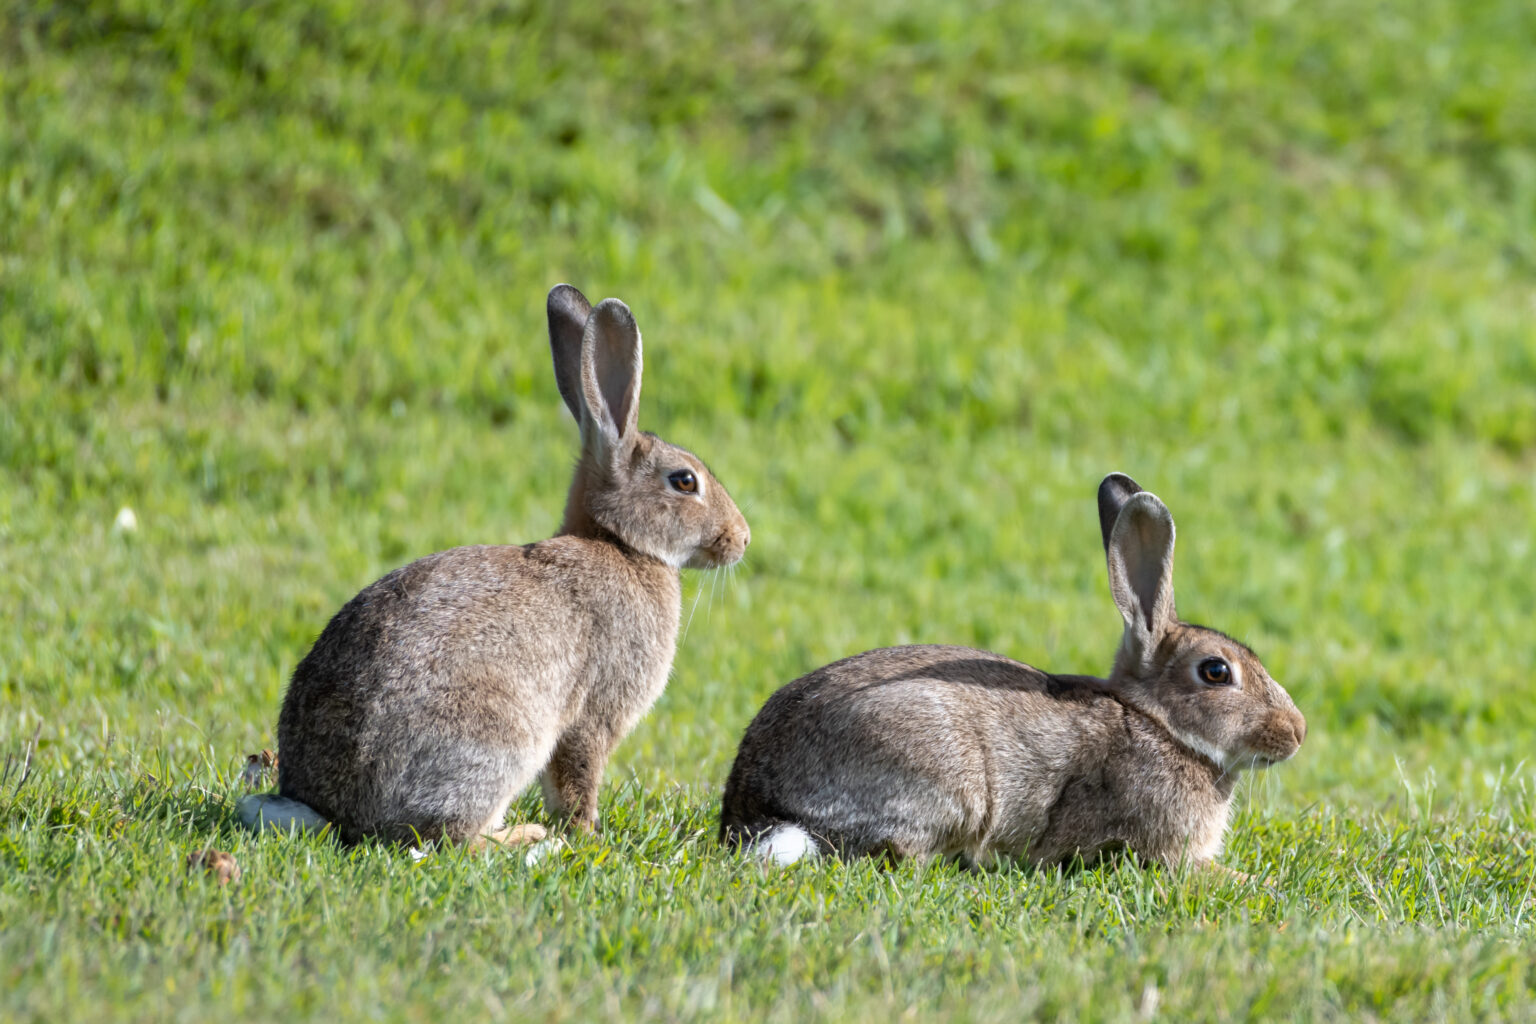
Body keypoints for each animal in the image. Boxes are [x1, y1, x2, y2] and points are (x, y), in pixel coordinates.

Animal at [237, 284, 750, 847]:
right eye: (685, 482)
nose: (742, 538)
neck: (620, 543)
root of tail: (336, 811)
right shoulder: (592, 713)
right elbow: (577, 778)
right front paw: (586, 835)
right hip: (499, 736)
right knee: (450, 837)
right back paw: (524, 836)